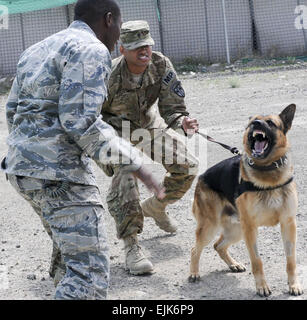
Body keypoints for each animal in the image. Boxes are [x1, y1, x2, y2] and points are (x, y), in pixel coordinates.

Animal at [189, 105, 304, 298]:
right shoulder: (250, 228)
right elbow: (257, 261)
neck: (267, 172)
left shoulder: (288, 224)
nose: (256, 123)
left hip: (237, 230)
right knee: (195, 249)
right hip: (212, 227)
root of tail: (202, 176)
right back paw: (194, 273)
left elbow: (291, 260)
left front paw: (294, 284)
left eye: (270, 122)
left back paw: (233, 264)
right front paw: (262, 287)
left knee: (218, 245)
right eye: (252, 122)